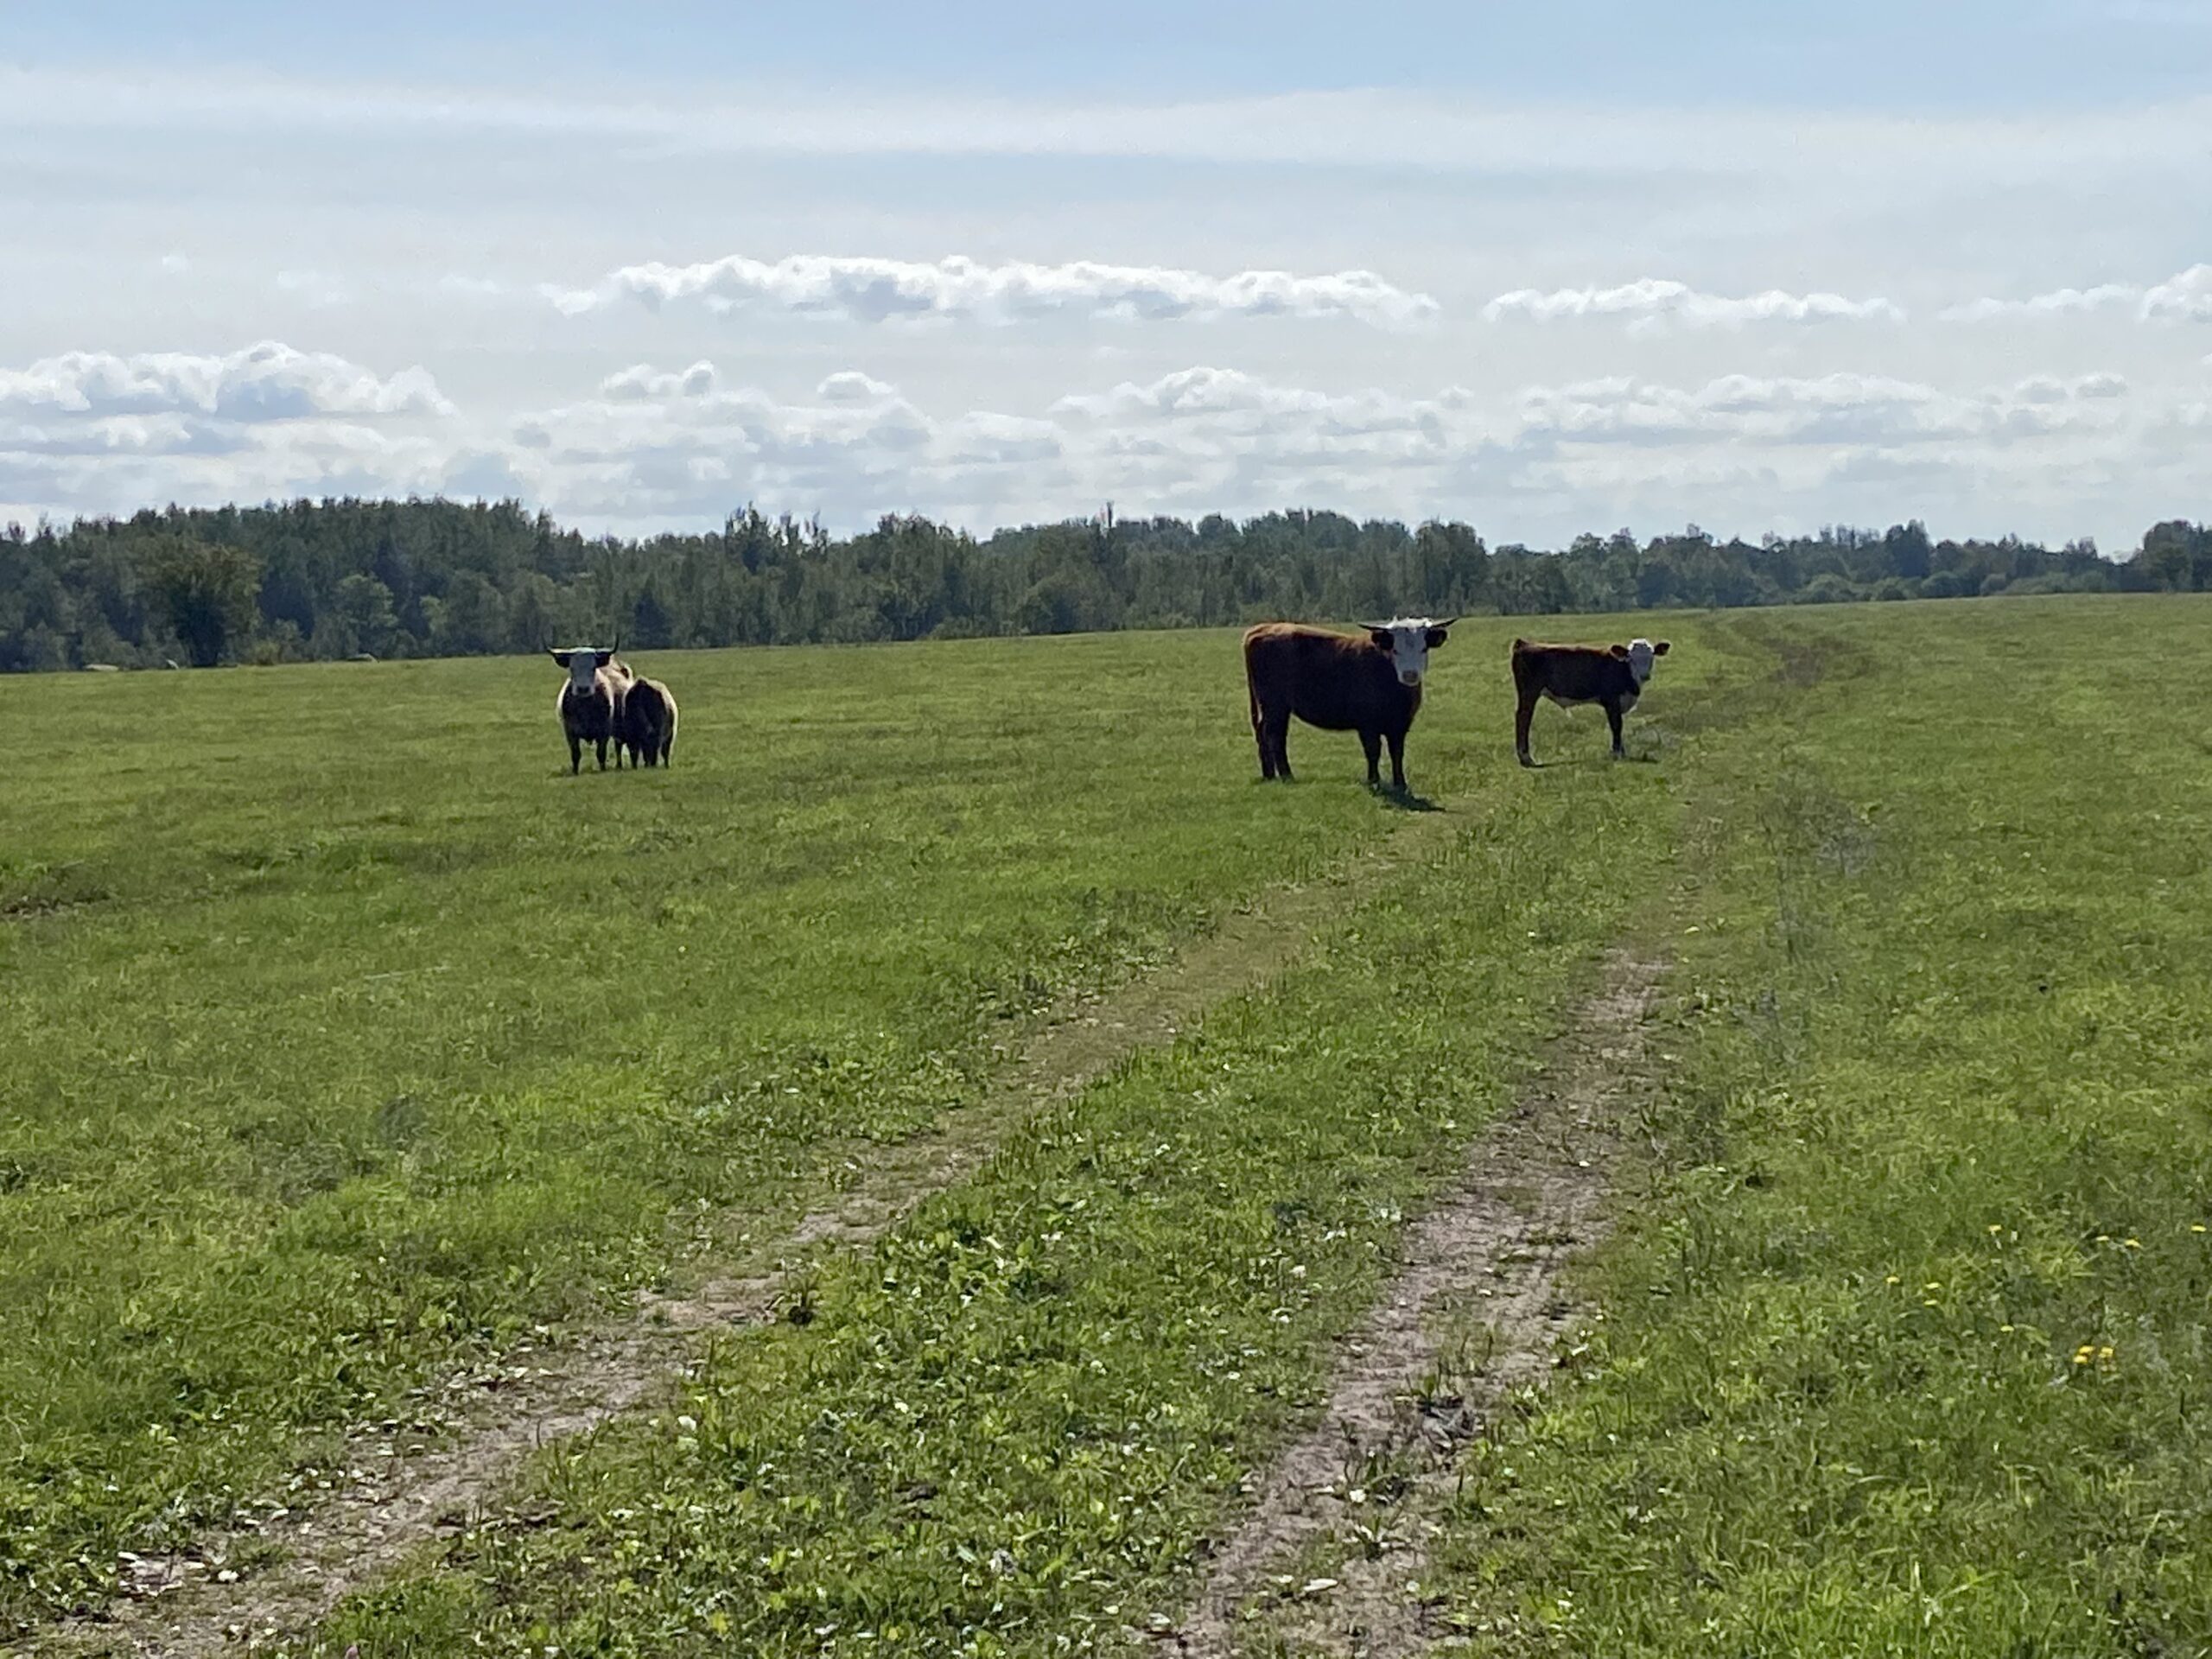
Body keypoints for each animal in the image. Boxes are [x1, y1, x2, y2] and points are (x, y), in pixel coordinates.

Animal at [548, 643, 630, 773]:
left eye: (593, 668)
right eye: (572, 668)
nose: (583, 689)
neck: (585, 708)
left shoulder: (604, 731)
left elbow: (601, 753)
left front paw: (603, 769)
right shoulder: (570, 733)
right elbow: (575, 754)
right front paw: (575, 772)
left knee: (618, 746)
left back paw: (619, 766)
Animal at [1243, 617, 1456, 791]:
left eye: (1424, 649)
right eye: (1395, 650)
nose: (1410, 674)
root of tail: (1261, 629)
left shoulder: (1400, 725)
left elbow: (1397, 752)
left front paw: (1400, 784)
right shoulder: (1367, 724)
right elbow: (1373, 751)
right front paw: (1374, 781)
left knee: (1266, 733)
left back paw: (1270, 775)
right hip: (1275, 705)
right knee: (1274, 735)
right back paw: (1286, 776)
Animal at [1510, 636, 1670, 767]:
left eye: (1651, 656)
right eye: (1631, 658)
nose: (1645, 675)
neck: (1624, 669)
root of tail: (1524, 643)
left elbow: (1619, 726)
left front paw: (1622, 752)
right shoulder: (1611, 701)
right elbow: (1616, 725)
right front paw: (1616, 753)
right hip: (1529, 693)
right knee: (1523, 717)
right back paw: (1526, 758)